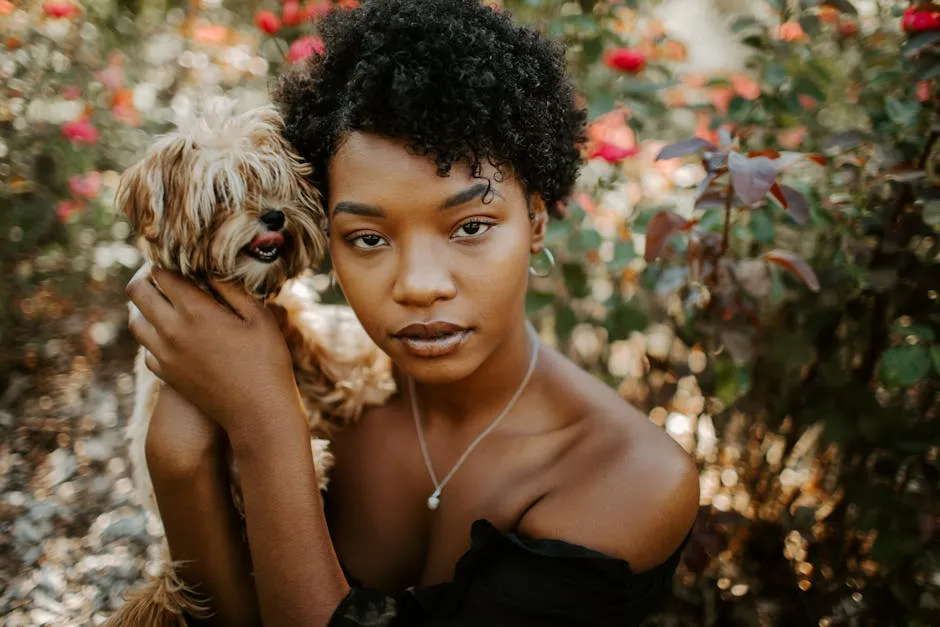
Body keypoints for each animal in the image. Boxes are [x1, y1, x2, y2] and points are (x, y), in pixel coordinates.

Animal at [103, 100, 392, 624]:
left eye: (277, 185)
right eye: (223, 195)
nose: (274, 216)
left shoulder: (291, 322)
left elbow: (316, 350)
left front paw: (362, 378)